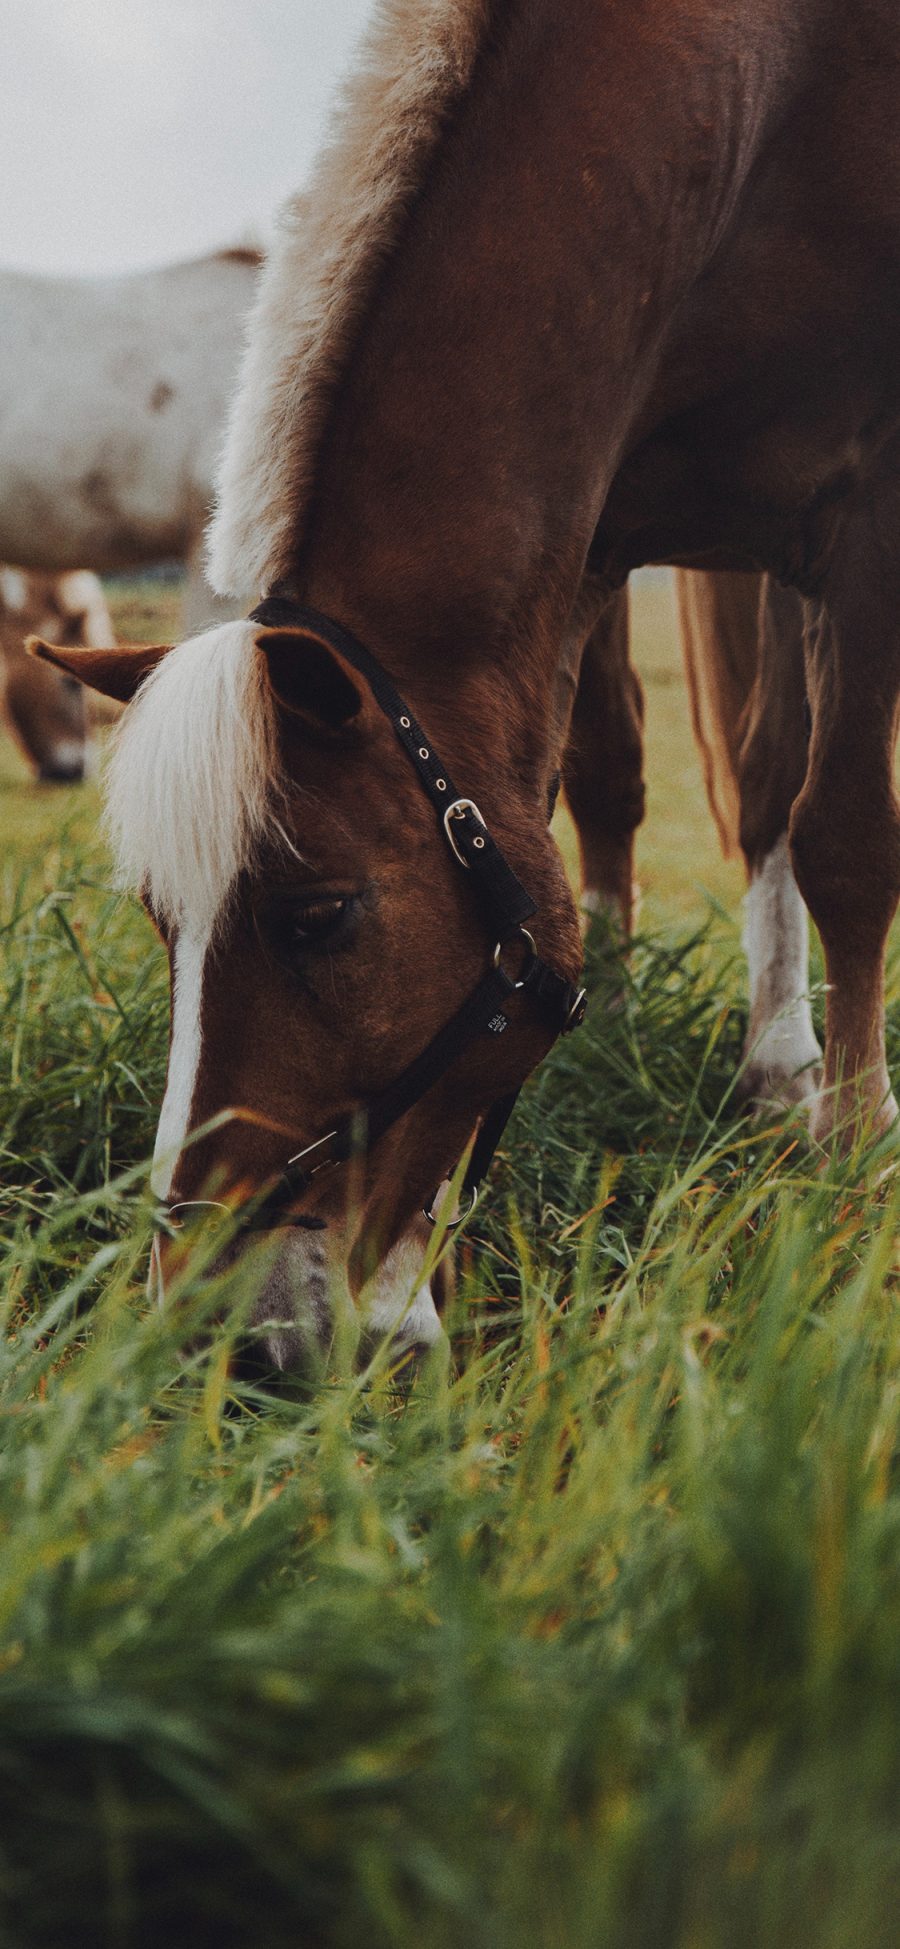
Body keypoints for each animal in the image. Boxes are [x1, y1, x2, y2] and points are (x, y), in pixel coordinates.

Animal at [37, 0, 900, 1364]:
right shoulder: (587, 536)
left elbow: (851, 845)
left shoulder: (865, 512)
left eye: (319, 914)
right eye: (161, 922)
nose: (224, 1335)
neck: (782, 90)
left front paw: (858, 1168)